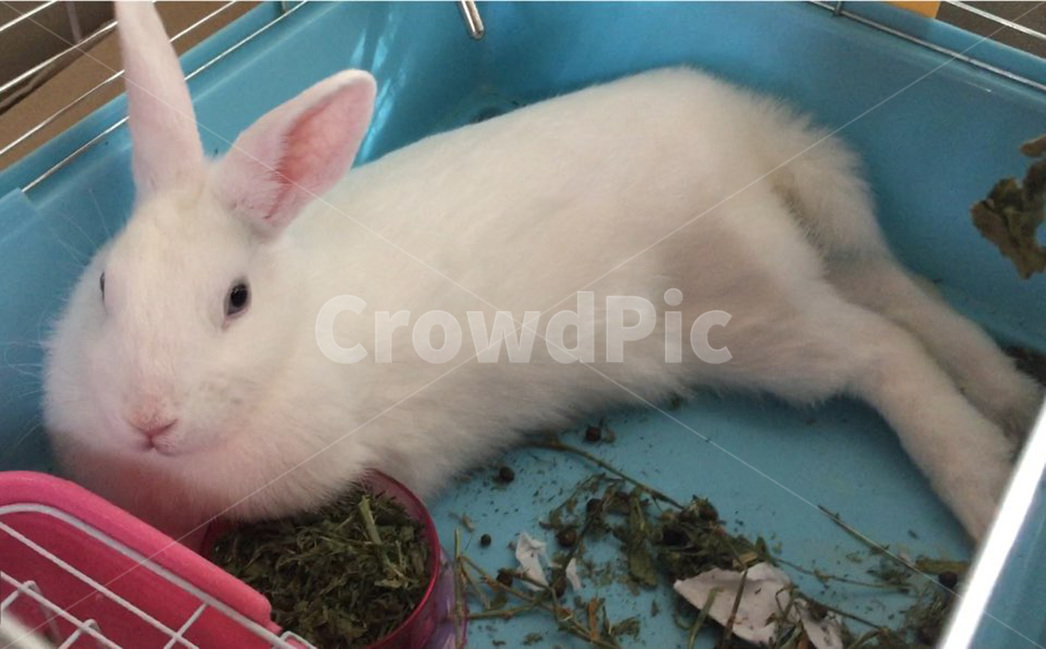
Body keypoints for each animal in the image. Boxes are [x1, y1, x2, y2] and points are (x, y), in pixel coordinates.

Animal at [43, 1, 1041, 545]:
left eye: (235, 300)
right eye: (104, 287)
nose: (148, 418)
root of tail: (745, 133)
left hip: (754, 319)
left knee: (882, 349)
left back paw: (984, 484)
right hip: (804, 270)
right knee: (901, 295)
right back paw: (1012, 397)